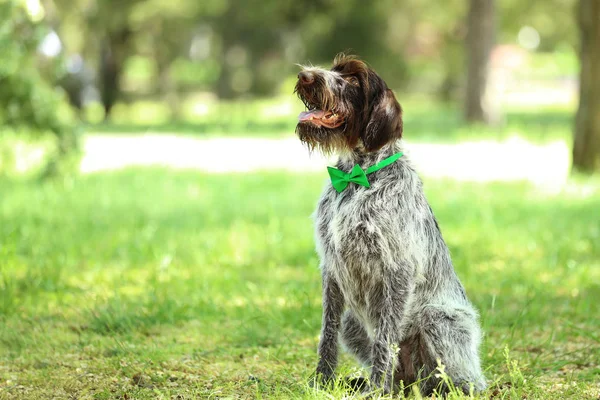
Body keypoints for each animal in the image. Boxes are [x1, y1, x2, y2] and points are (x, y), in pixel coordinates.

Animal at [296, 54, 488, 396]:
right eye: (333, 69)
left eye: (353, 79)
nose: (305, 76)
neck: (356, 176)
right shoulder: (331, 266)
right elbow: (327, 332)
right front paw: (322, 381)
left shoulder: (397, 269)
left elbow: (386, 338)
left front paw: (376, 390)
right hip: (353, 323)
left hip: (437, 318)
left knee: (459, 383)